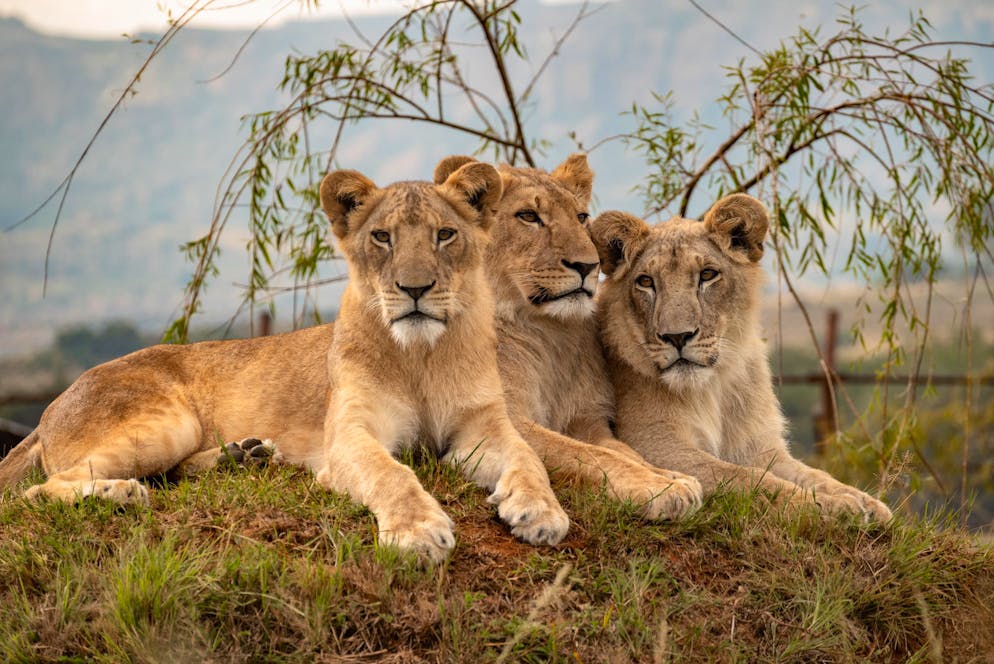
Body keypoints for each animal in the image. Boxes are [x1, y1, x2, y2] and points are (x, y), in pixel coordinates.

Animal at [0, 161, 569, 561]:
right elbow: (392, 474)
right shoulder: (349, 436)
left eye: (444, 234)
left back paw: (245, 455)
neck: (422, 354)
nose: (415, 288)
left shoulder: (483, 428)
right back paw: (120, 492)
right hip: (167, 421)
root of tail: (52, 404)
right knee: (39, 492)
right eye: (382, 237)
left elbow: (529, 459)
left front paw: (542, 512)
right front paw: (419, 531)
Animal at [433, 154, 703, 521]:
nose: (588, 266)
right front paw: (660, 488)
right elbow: (590, 455)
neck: (548, 332)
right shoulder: (504, 419)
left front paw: (672, 476)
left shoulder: (588, 420)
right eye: (529, 216)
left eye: (582, 218)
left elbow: (624, 452)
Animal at [589, 194, 891, 521]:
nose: (677, 336)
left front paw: (867, 503)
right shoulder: (652, 442)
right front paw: (832, 507)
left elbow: (814, 475)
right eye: (645, 281)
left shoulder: (759, 447)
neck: (713, 386)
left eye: (707, 275)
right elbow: (746, 477)